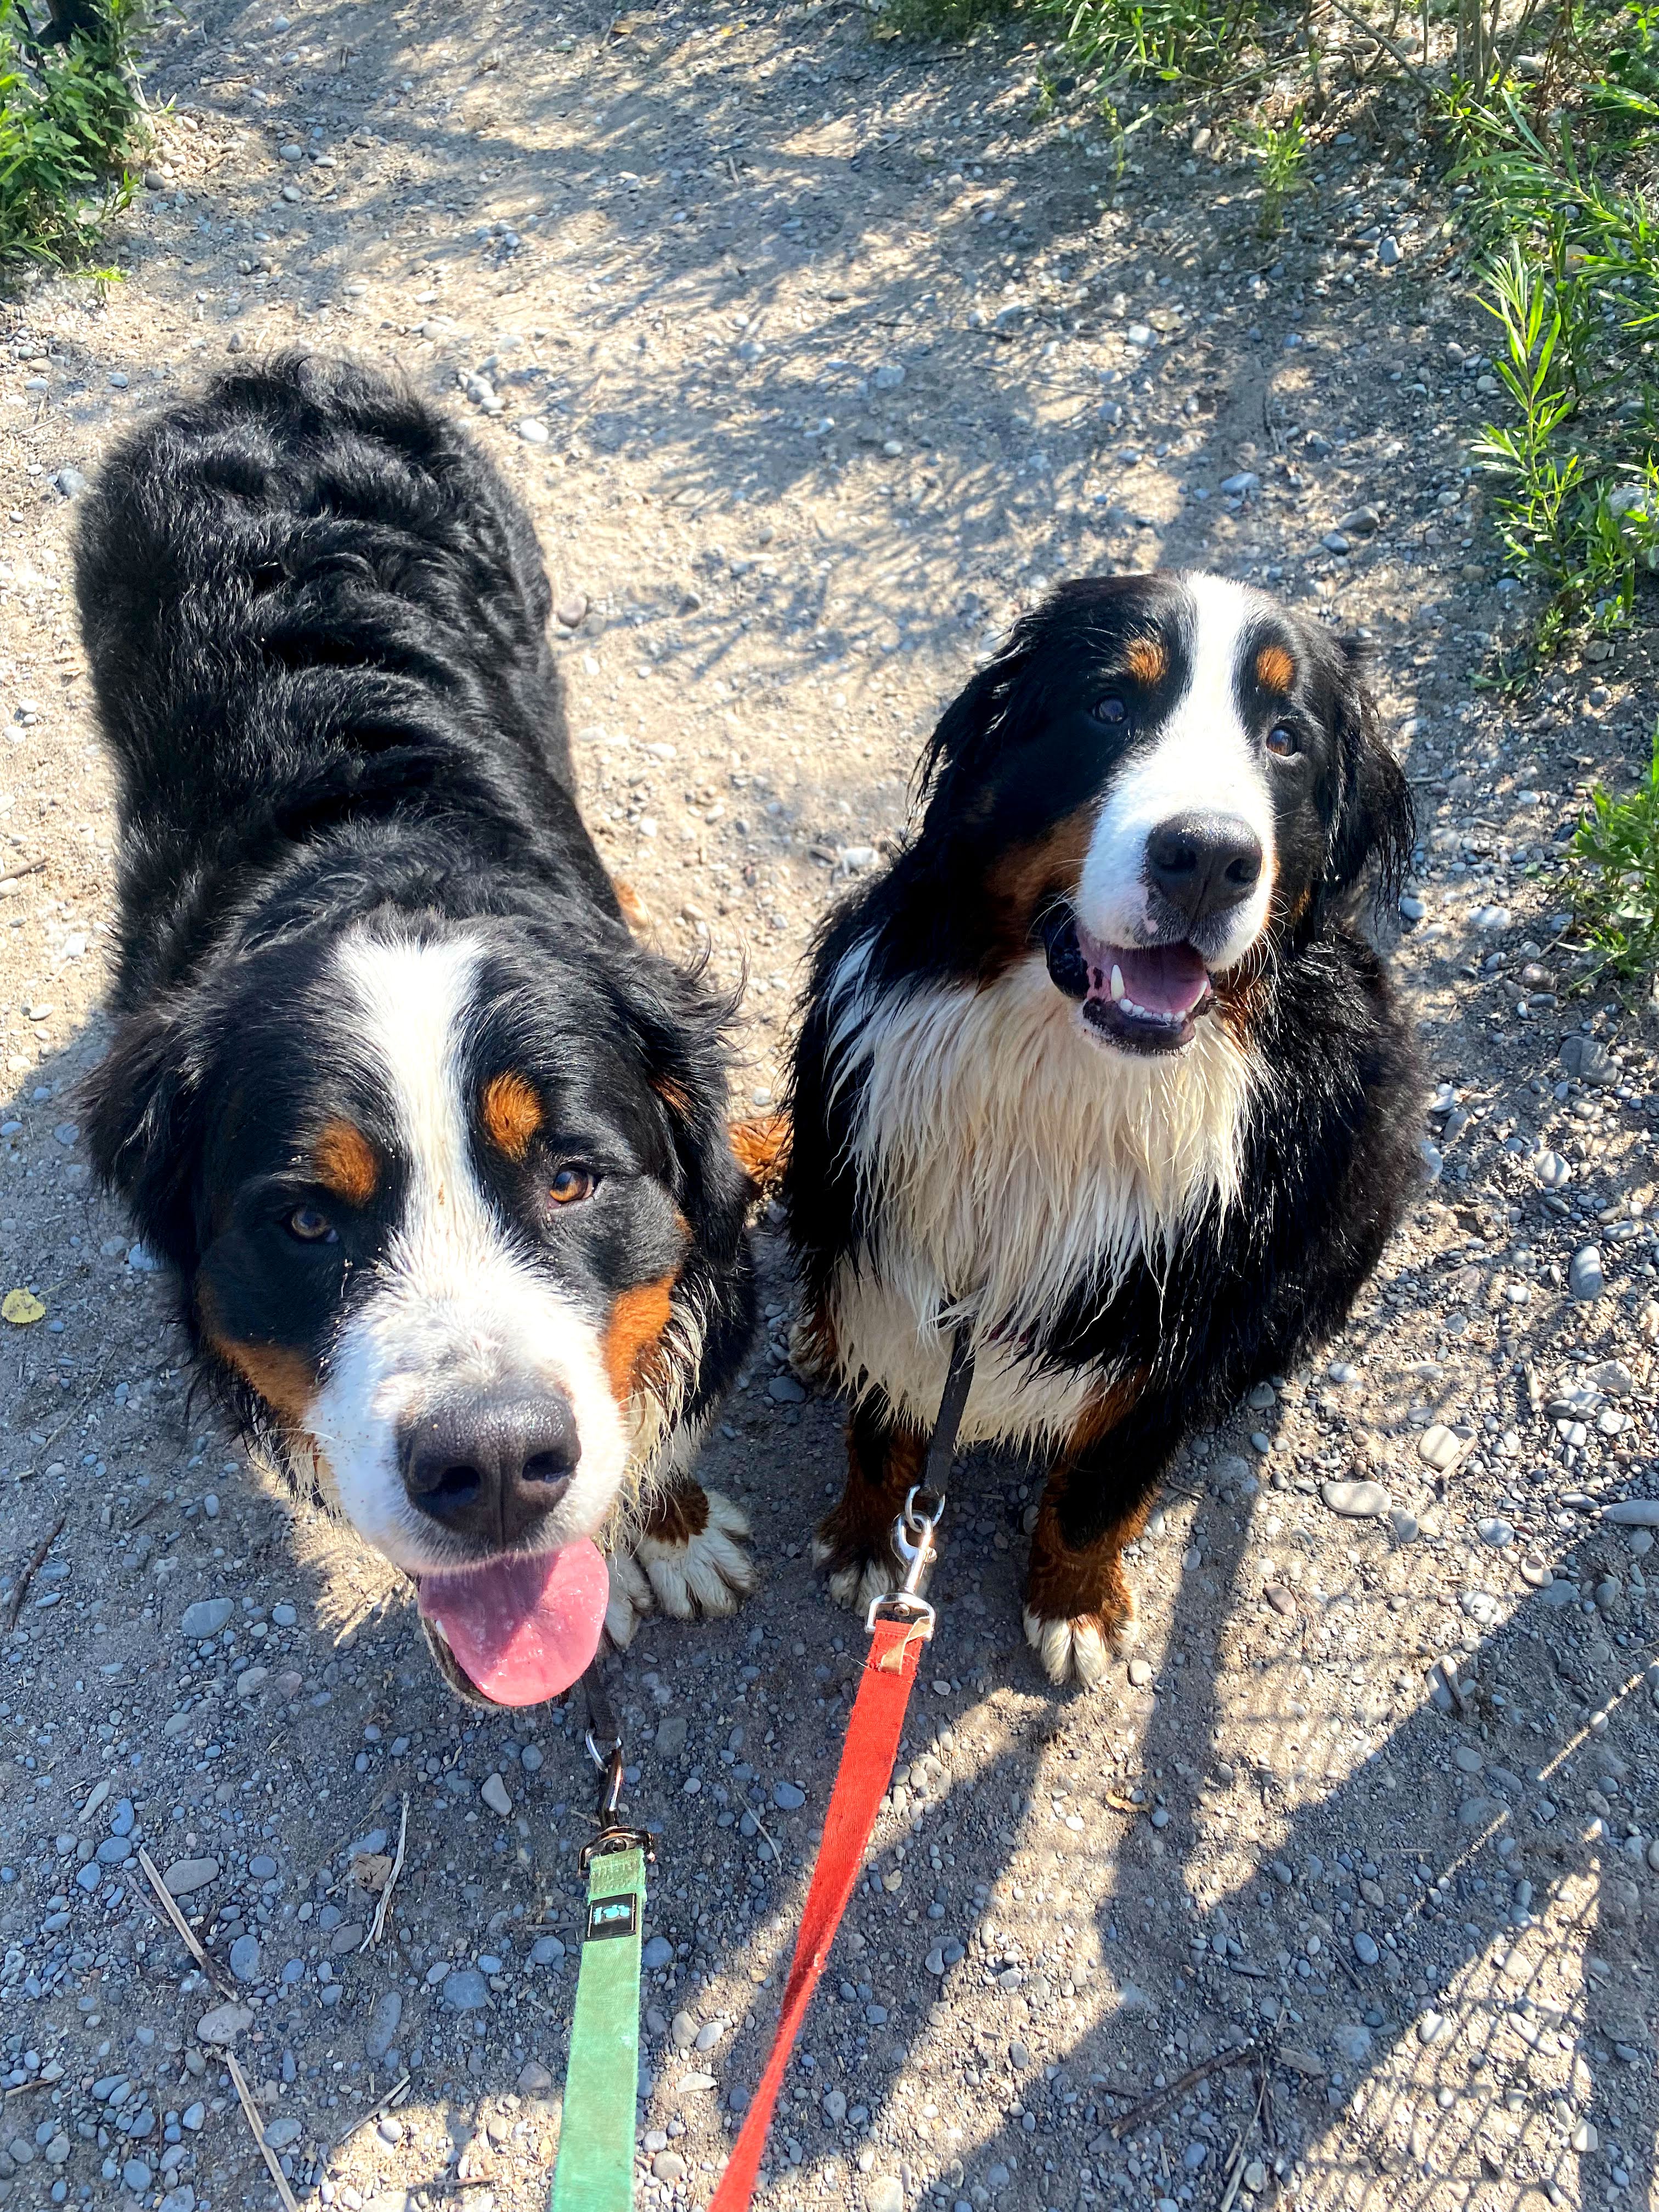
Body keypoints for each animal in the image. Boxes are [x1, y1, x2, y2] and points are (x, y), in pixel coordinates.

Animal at [73, 354, 761, 1707]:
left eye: (572, 1176)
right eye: (304, 1220)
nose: (491, 1464)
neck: (379, 852)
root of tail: (267, 378)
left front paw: (676, 1533)